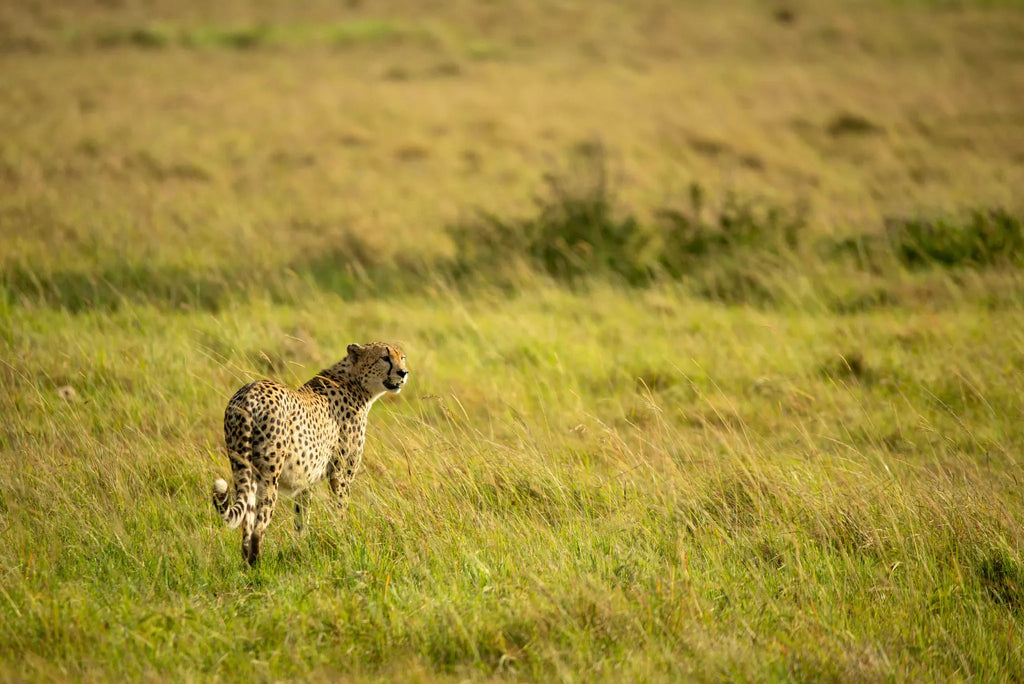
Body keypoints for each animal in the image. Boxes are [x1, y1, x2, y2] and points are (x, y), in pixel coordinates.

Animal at [211, 341, 408, 565]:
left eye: (402, 358)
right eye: (385, 358)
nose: (403, 373)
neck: (355, 383)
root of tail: (250, 392)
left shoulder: (305, 479)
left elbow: (301, 518)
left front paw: (300, 548)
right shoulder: (341, 475)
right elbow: (340, 509)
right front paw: (342, 539)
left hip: (243, 468)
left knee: (247, 523)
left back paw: (247, 565)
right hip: (269, 476)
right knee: (259, 527)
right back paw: (258, 567)